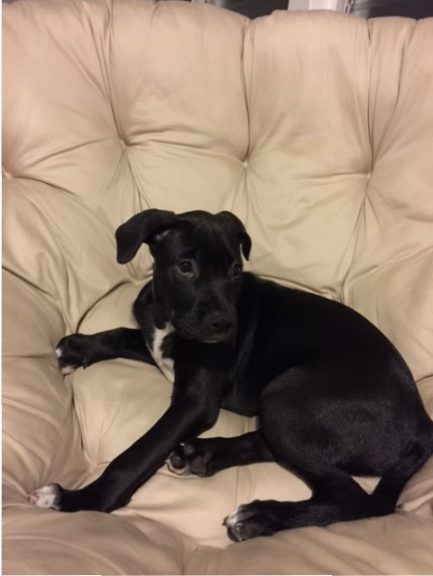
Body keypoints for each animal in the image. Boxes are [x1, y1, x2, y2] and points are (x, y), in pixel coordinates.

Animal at [31, 209, 432, 544]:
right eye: (186, 266)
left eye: (235, 271)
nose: (224, 324)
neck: (168, 315)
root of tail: (422, 423)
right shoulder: (157, 342)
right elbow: (123, 334)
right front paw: (79, 347)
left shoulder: (195, 403)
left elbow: (135, 455)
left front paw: (82, 499)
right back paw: (203, 454)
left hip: (286, 393)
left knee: (353, 497)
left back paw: (259, 517)